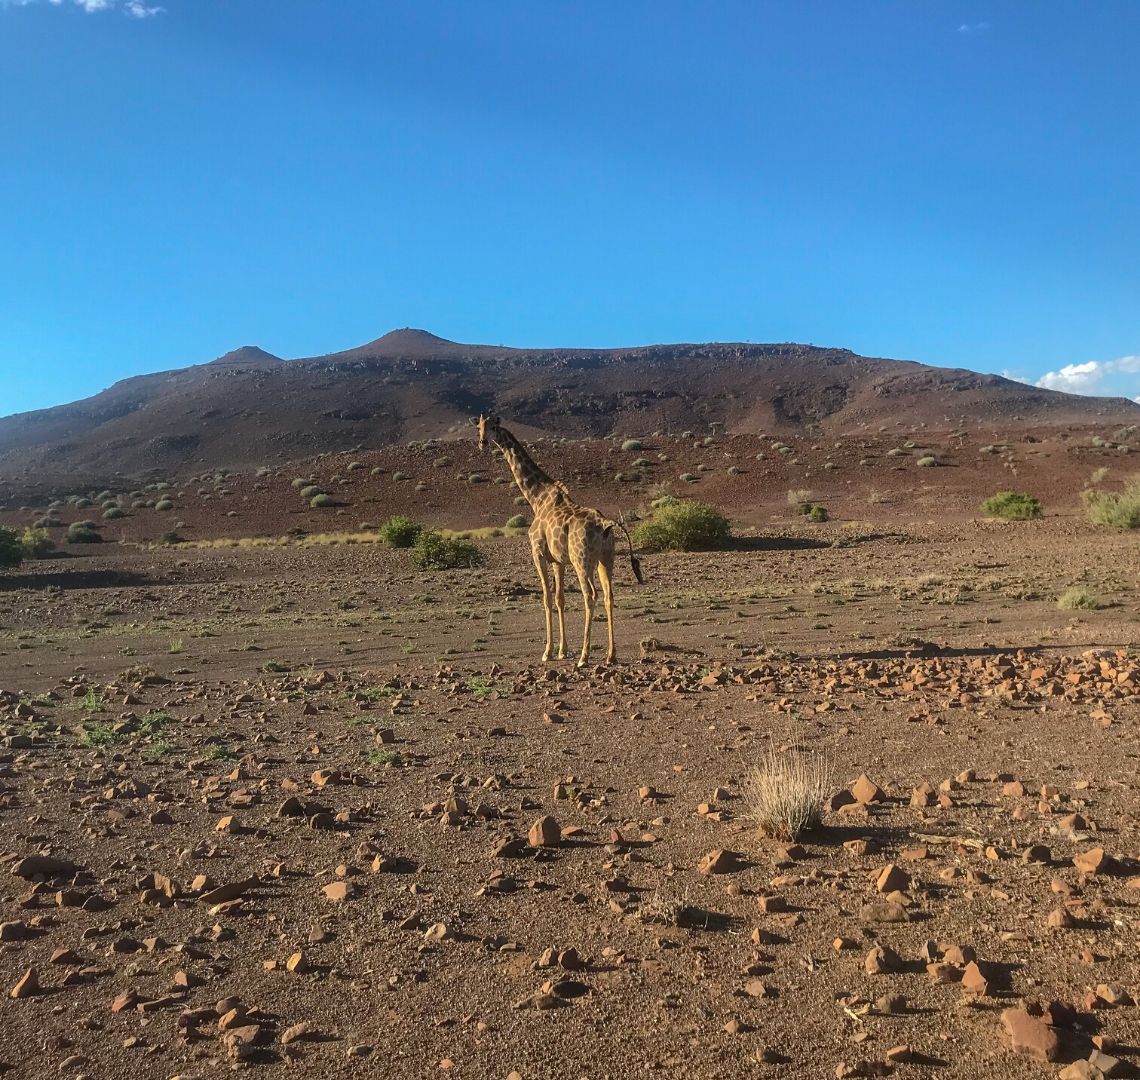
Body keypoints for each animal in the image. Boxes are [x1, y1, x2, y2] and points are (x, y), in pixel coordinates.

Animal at [474, 415, 642, 661]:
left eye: (493, 427)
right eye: (478, 427)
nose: (482, 442)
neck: (537, 498)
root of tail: (605, 524)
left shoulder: (538, 553)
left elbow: (545, 598)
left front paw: (547, 652)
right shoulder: (559, 561)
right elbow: (559, 599)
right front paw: (562, 650)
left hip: (582, 561)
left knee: (590, 595)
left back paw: (584, 657)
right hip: (606, 559)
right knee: (609, 596)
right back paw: (611, 655)